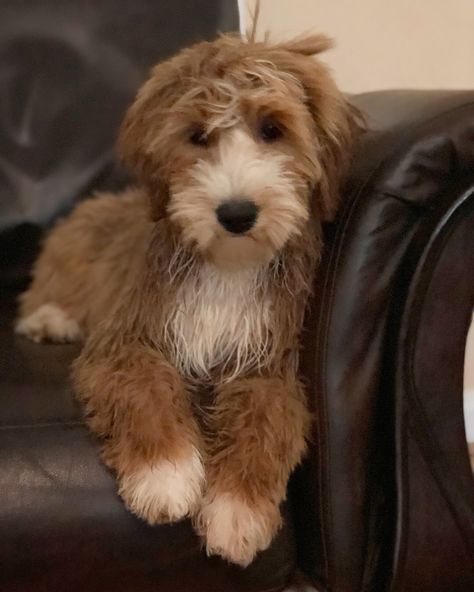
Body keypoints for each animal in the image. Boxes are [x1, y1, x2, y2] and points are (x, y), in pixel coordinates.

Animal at [16, 33, 362, 568]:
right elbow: (145, 387)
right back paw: (49, 321)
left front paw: (237, 513)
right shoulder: (127, 341)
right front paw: (166, 478)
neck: (227, 266)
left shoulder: (266, 368)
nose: (236, 213)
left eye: (273, 129)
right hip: (72, 250)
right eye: (198, 136)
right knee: (44, 294)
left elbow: (264, 422)